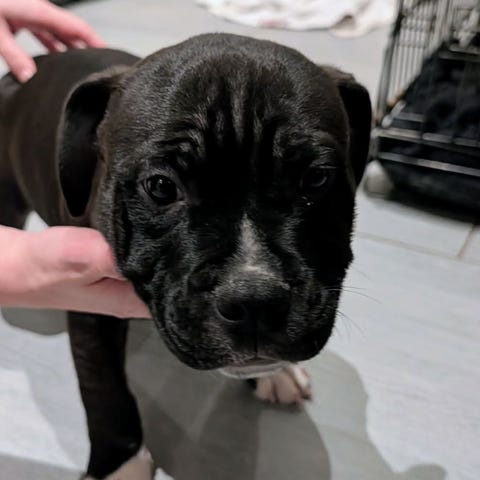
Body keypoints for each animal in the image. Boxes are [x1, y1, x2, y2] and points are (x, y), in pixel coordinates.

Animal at [0, 33, 371, 479]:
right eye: (161, 187)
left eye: (316, 179)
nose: (255, 301)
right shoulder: (89, 311)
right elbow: (105, 391)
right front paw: (121, 466)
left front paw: (278, 373)